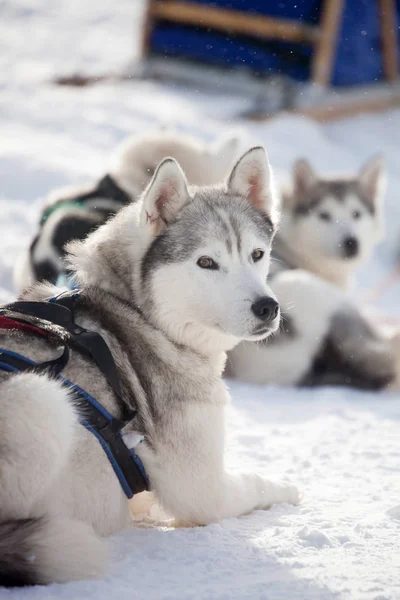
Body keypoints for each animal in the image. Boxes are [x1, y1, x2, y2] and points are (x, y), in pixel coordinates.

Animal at [0, 148, 300, 584]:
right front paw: (287, 487)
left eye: (257, 255)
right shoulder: (203, 489)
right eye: (206, 262)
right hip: (40, 397)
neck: (139, 312)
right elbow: (255, 485)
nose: (267, 307)